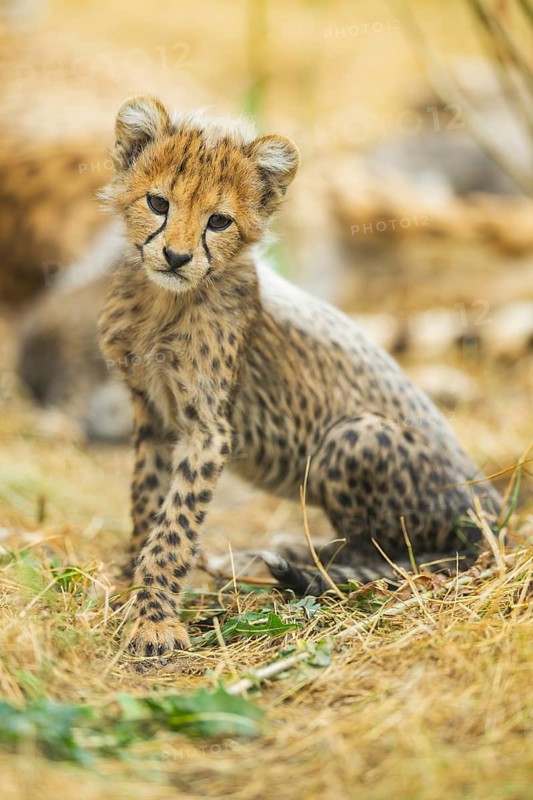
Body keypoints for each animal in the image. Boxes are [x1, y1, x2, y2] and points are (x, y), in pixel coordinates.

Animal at [98, 95, 501, 658]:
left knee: (400, 556)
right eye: (158, 203)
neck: (163, 301)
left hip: (355, 437)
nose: (176, 257)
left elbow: (175, 527)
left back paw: (314, 565)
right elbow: (146, 499)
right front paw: (128, 580)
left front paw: (154, 620)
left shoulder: (208, 432)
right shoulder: (154, 412)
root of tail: (494, 506)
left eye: (218, 221)